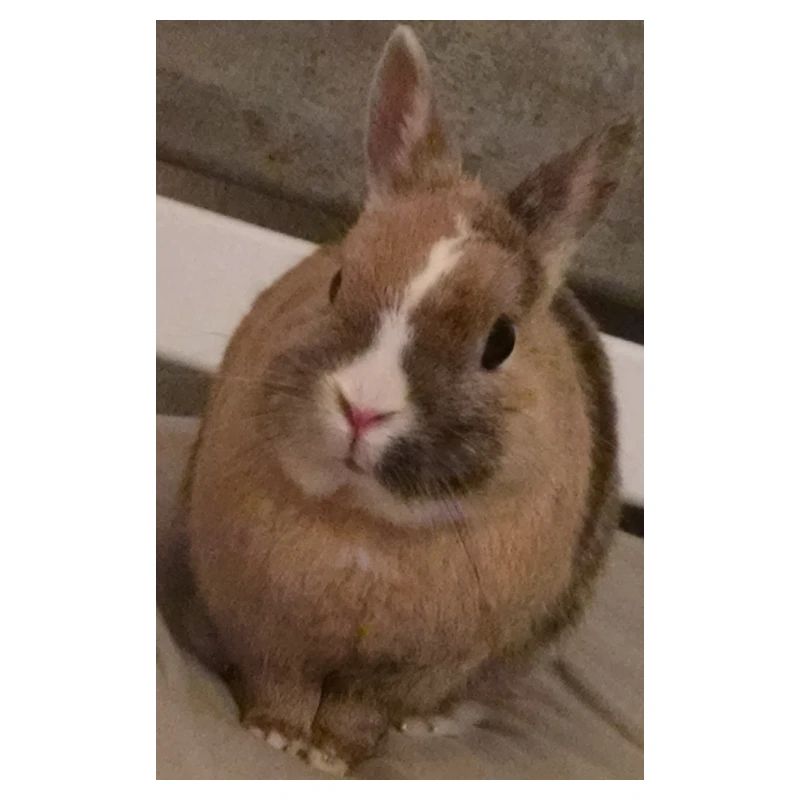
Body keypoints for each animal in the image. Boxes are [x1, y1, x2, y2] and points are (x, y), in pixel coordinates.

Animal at [182, 25, 634, 775]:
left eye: (501, 341)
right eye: (337, 281)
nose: (363, 409)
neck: (362, 522)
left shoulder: (411, 670)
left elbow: (361, 711)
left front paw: (331, 755)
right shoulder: (264, 629)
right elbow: (281, 683)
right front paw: (276, 735)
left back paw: (430, 726)